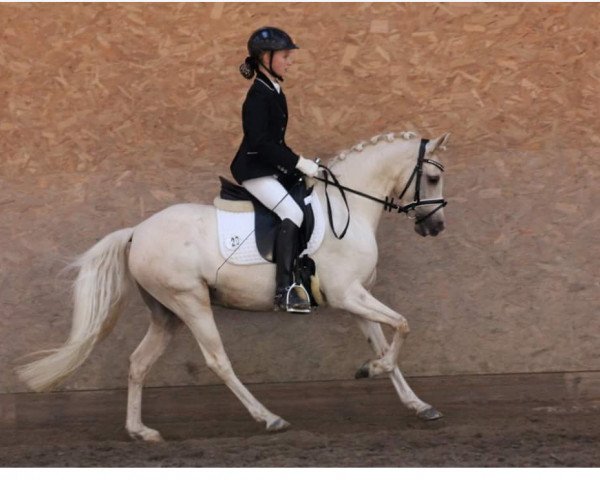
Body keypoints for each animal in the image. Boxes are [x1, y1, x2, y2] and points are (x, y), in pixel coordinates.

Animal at [16, 130, 450, 442]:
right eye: (432, 177)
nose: (435, 227)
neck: (348, 208)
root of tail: (137, 231)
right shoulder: (349, 295)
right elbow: (403, 326)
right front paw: (371, 370)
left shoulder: (354, 299)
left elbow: (386, 339)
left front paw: (417, 403)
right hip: (190, 302)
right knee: (217, 360)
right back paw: (269, 418)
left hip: (167, 314)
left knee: (138, 363)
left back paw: (141, 431)